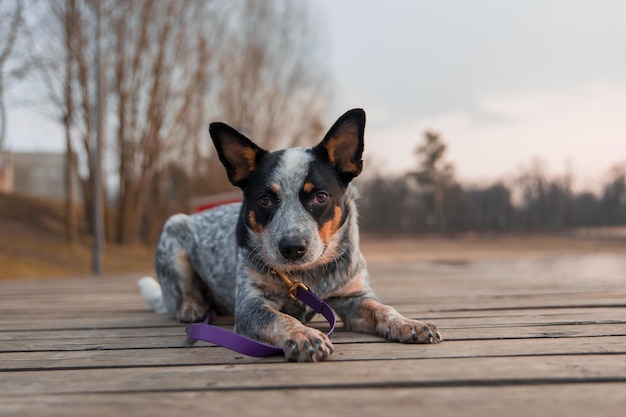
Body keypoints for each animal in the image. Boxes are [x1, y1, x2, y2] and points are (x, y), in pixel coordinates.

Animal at [141, 109, 444, 360]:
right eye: (264, 200)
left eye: (320, 196)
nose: (292, 247)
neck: (307, 276)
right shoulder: (250, 304)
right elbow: (279, 318)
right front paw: (304, 335)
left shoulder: (355, 297)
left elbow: (384, 309)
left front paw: (409, 323)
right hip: (174, 231)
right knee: (185, 290)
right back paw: (192, 306)